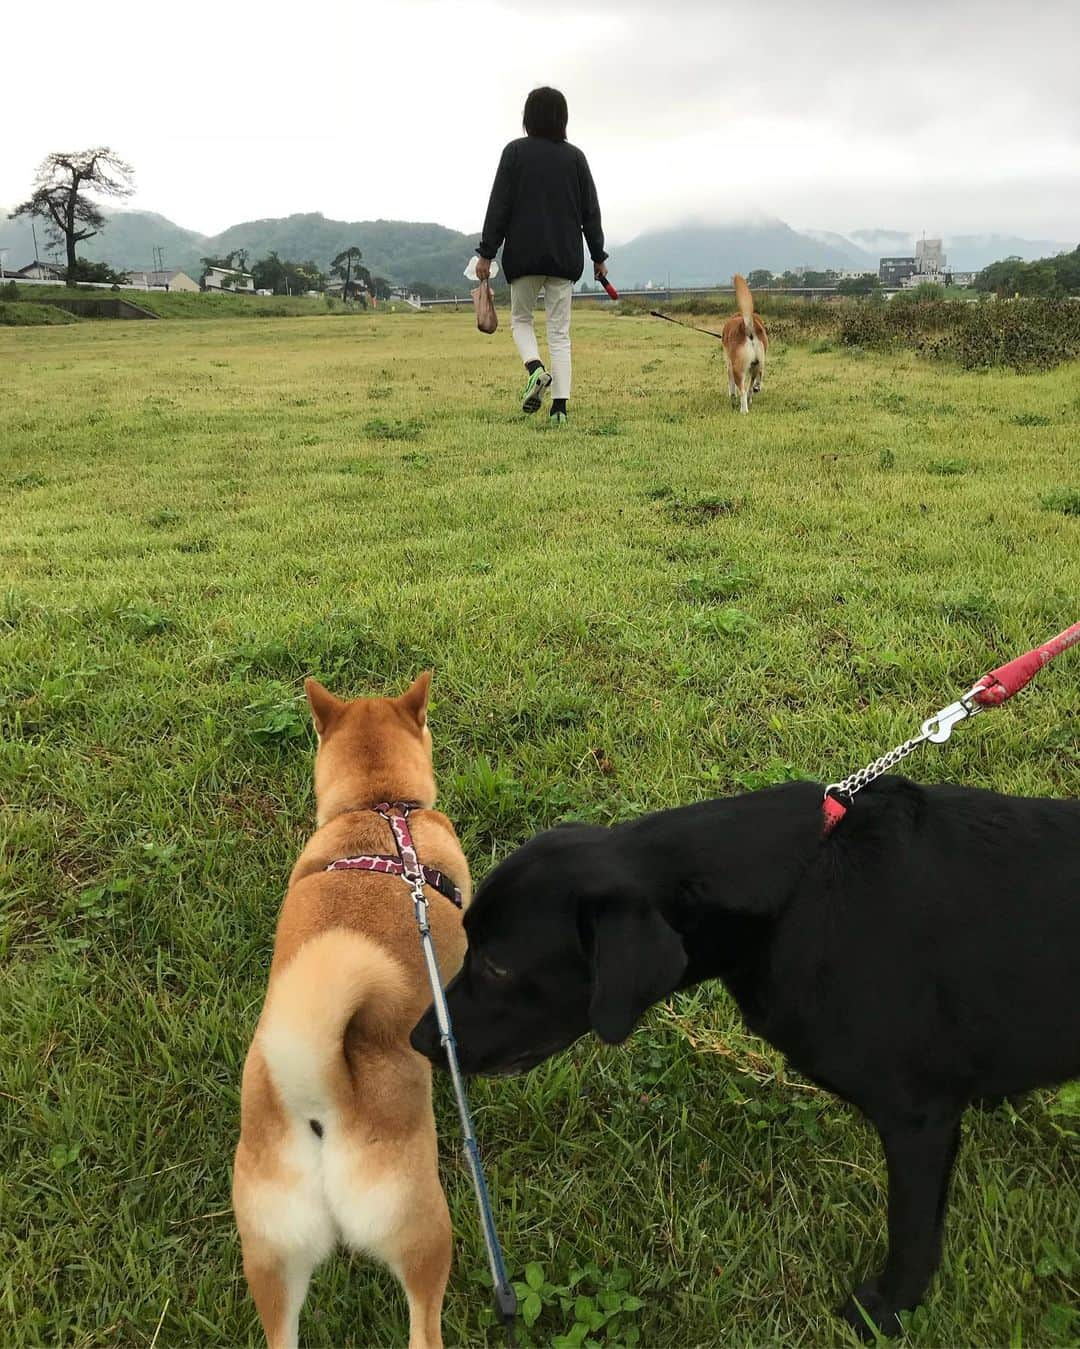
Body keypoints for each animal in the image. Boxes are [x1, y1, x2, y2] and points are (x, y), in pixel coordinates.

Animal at [722, 275, 765, 415]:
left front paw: (732, 399)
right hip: (757, 364)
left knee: (743, 390)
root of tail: (747, 326)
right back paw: (754, 392)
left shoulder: (729, 365)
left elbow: (731, 387)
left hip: (738, 369)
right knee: (751, 384)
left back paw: (743, 410)